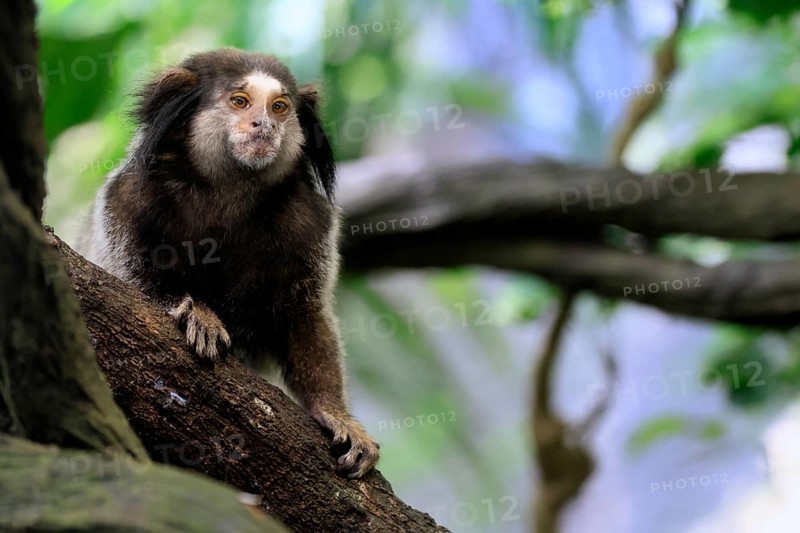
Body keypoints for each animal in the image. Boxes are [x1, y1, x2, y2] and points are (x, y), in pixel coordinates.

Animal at [77, 48, 379, 479]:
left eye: (279, 107)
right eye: (240, 102)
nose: (263, 124)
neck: (230, 191)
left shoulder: (312, 221)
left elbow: (305, 314)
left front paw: (335, 412)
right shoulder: (128, 197)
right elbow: (123, 287)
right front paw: (196, 313)